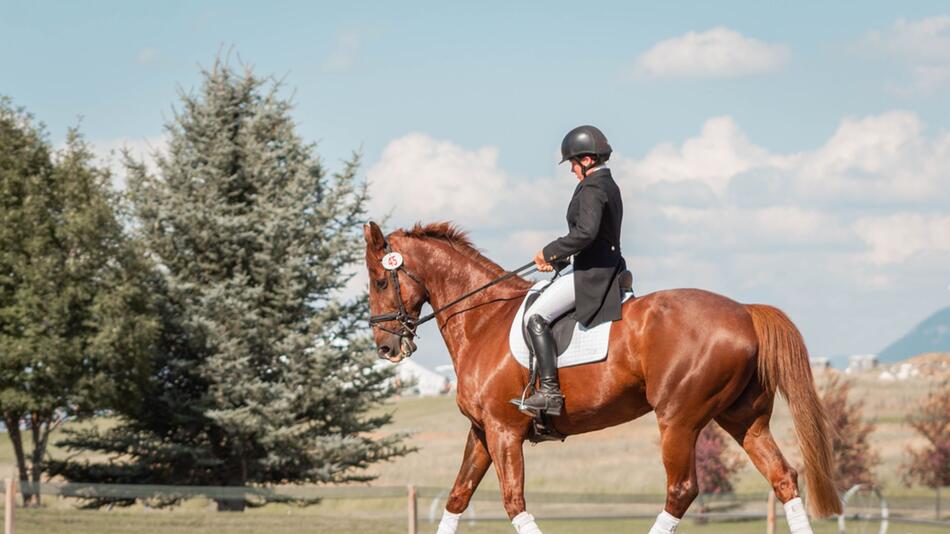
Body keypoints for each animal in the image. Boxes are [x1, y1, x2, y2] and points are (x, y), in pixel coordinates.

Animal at [362, 222, 840, 534]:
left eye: (379, 280)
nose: (385, 347)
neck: (482, 321)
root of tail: (744, 311)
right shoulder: (482, 431)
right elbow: (458, 497)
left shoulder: (503, 432)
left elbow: (514, 503)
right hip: (744, 420)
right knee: (783, 478)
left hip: (678, 420)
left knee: (681, 491)